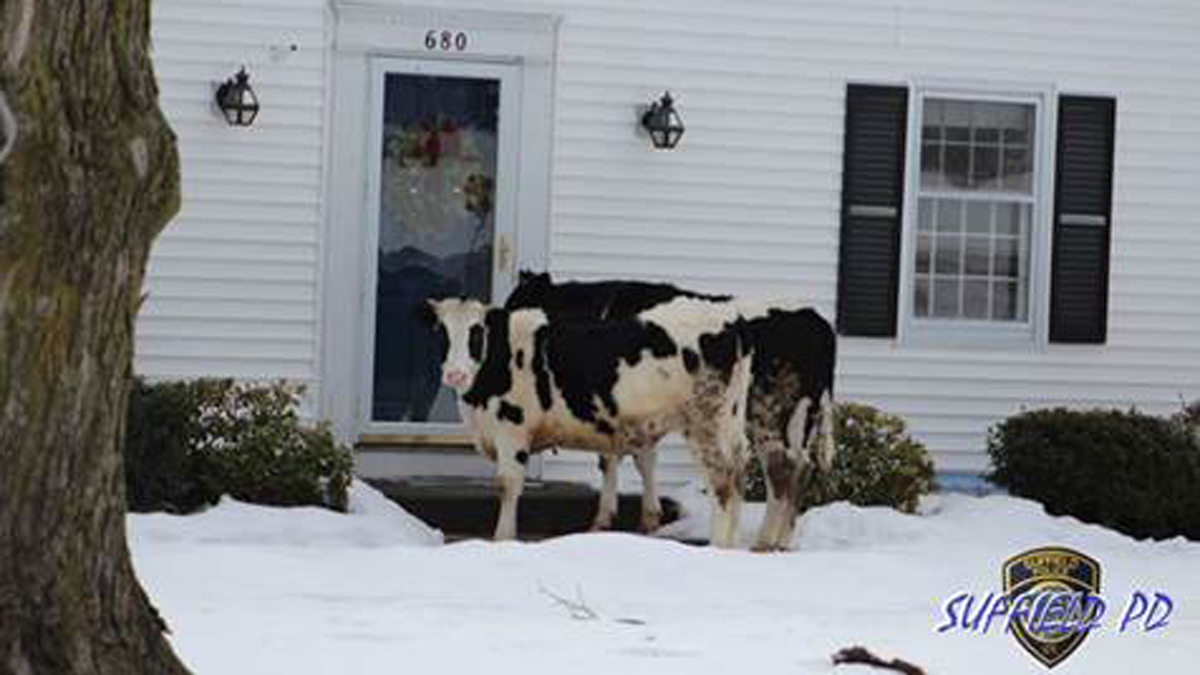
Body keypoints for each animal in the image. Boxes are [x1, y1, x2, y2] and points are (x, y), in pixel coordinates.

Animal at [421, 296, 755, 547]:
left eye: (477, 332)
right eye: (442, 332)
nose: (455, 374)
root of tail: (728, 320)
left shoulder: (511, 429)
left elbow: (507, 486)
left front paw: (502, 539)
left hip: (703, 424)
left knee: (721, 481)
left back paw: (716, 546)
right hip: (730, 422)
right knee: (737, 474)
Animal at [506, 271, 837, 551]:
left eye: (515, 302)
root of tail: (817, 321)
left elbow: (618, 458)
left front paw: (611, 520)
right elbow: (641, 457)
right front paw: (647, 517)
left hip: (766, 409)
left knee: (779, 464)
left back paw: (766, 541)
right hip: (799, 414)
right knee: (797, 465)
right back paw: (778, 541)